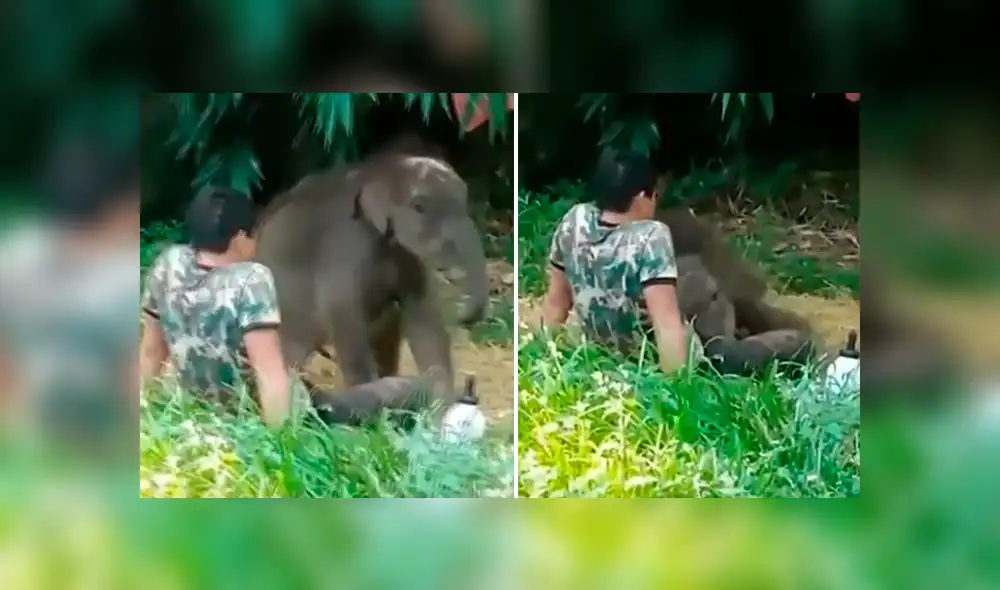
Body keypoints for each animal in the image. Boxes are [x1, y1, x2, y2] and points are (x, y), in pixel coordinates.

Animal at [253, 151, 489, 405]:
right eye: (419, 207)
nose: (461, 307)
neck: (379, 170)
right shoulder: (345, 246)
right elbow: (344, 314)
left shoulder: (408, 258)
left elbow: (423, 316)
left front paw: (440, 403)